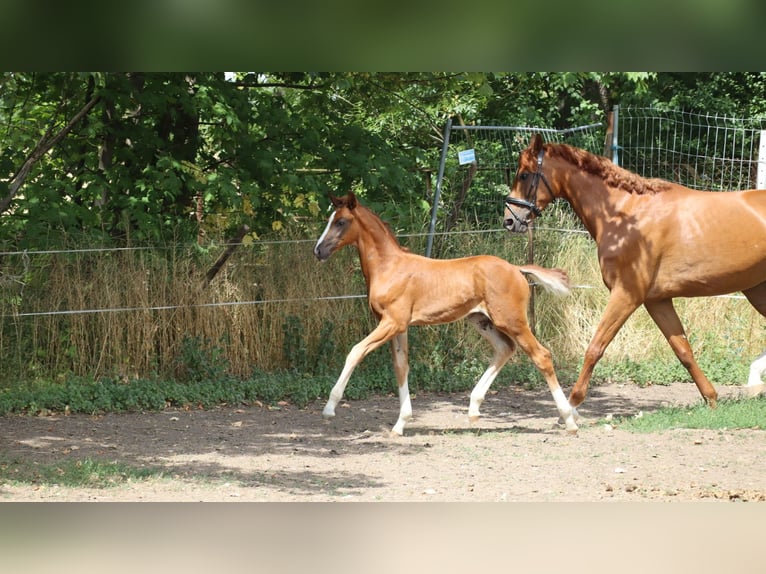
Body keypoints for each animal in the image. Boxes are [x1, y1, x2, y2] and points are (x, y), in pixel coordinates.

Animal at [313, 192, 577, 435]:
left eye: (341, 222)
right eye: (329, 220)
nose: (318, 250)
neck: (390, 267)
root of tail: (516, 268)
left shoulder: (393, 323)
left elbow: (356, 352)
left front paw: (329, 407)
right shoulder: (397, 327)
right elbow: (401, 367)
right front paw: (400, 424)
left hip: (512, 321)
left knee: (542, 356)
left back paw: (569, 420)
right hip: (482, 320)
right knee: (505, 349)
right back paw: (474, 409)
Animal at [504, 133, 766, 412]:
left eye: (524, 174)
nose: (509, 220)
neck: (626, 215)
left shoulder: (626, 294)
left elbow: (595, 347)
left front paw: (572, 405)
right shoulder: (656, 301)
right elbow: (683, 350)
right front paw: (711, 399)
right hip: (756, 289)